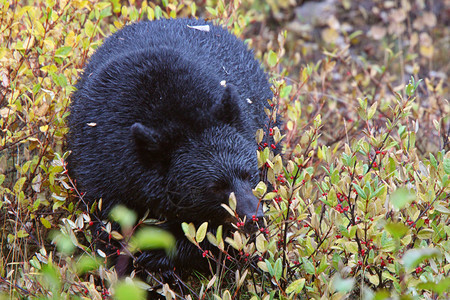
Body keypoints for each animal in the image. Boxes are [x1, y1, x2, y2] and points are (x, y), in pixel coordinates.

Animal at [68, 17, 272, 274]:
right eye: (216, 187)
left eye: (249, 174)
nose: (254, 217)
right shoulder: (101, 163)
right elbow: (108, 223)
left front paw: (157, 252)